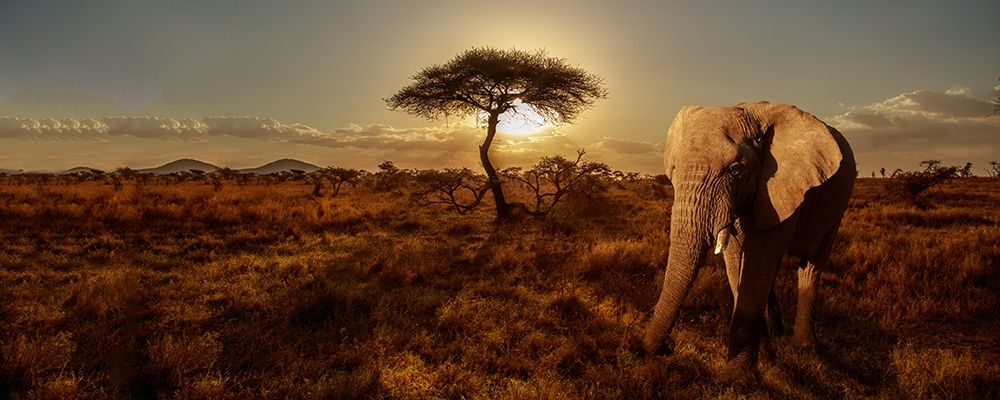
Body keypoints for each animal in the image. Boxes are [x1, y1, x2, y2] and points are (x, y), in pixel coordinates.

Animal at [642, 102, 856, 380]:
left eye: (736, 170)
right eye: (674, 170)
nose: (665, 349)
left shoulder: (781, 189)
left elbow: (758, 260)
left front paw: (735, 376)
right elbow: (736, 262)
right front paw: (764, 358)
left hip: (837, 206)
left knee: (812, 263)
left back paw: (805, 346)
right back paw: (777, 333)